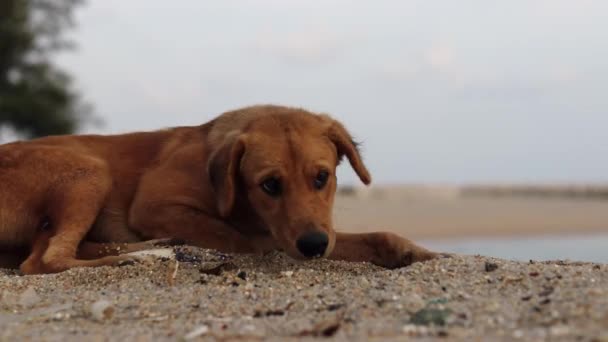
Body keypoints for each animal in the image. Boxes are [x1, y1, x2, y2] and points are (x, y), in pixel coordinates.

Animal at [0, 105, 436, 274]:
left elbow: (373, 237)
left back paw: (156, 248)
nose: (313, 246)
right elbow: (247, 240)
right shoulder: (154, 206)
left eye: (322, 177)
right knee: (44, 260)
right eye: (270, 184)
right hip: (89, 169)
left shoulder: (315, 231)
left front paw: (417, 252)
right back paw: (141, 256)